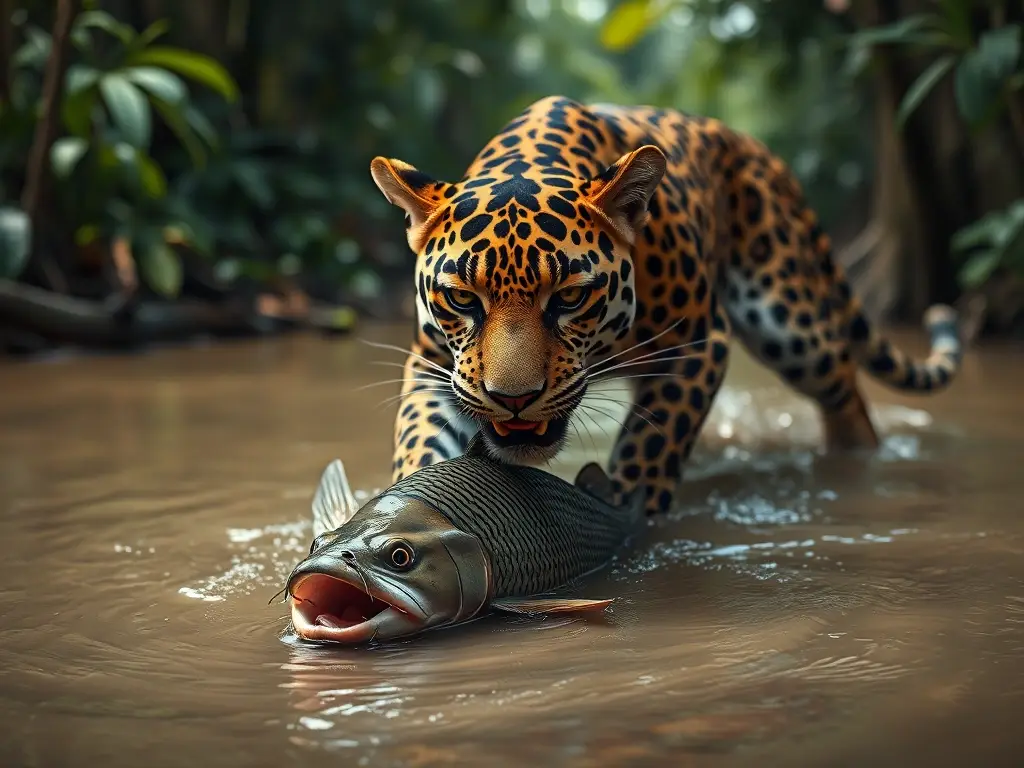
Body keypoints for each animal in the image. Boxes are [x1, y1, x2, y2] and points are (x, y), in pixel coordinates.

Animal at [368, 95, 963, 515]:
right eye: (462, 298)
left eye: (570, 297)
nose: (514, 400)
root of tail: (762, 153)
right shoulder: (435, 364)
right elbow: (420, 438)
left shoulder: (698, 343)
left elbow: (652, 446)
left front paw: (629, 507)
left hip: (790, 323)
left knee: (843, 385)